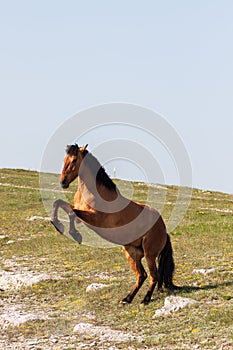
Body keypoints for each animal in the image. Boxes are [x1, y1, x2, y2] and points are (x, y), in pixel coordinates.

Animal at [51, 142, 177, 304]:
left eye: (74, 160)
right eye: (64, 159)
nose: (63, 182)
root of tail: (164, 230)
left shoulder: (94, 218)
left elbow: (71, 212)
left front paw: (75, 234)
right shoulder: (79, 211)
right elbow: (59, 204)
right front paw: (59, 226)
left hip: (149, 254)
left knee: (153, 276)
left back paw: (145, 300)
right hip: (131, 252)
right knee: (141, 275)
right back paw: (127, 299)